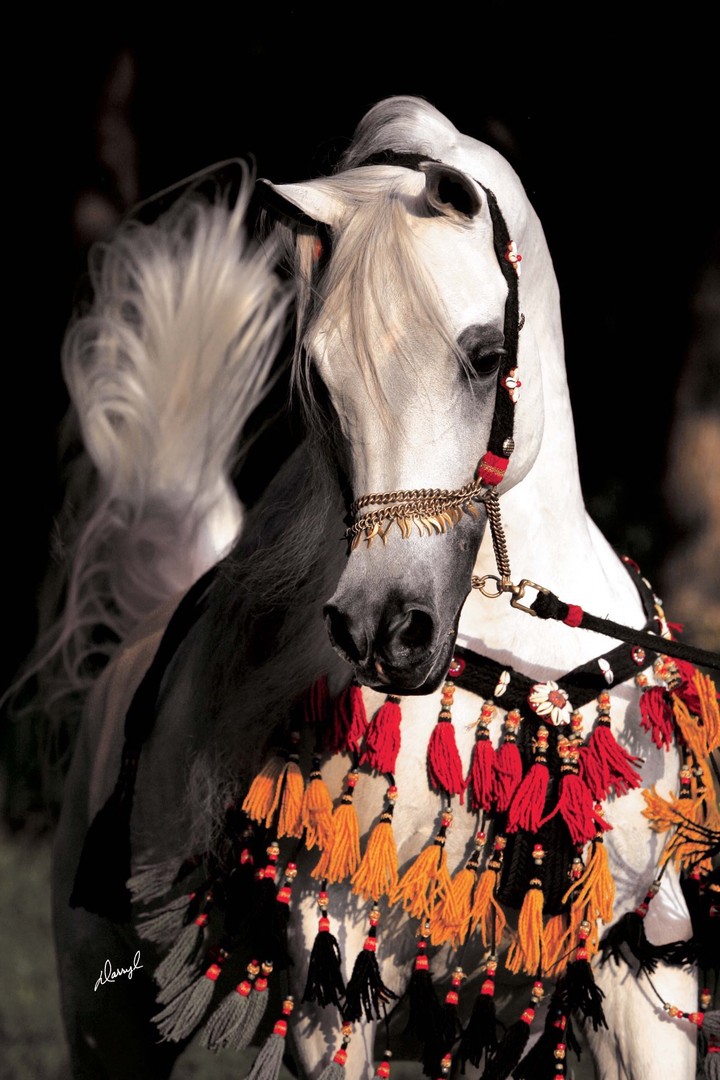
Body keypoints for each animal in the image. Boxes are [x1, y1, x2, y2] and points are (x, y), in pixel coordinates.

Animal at [34, 96, 718, 1080]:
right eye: (322, 380)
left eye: (486, 355)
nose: (384, 630)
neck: (523, 659)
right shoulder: (338, 973)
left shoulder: (639, 965)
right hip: (108, 1027)